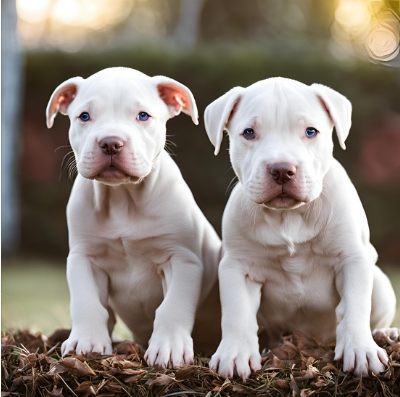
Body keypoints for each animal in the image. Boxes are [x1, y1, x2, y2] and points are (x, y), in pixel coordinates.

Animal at [47, 66, 222, 366]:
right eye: (84, 116)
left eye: (143, 116)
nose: (110, 143)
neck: (124, 199)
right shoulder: (84, 258)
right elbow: (86, 302)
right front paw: (87, 342)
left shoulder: (181, 260)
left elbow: (172, 306)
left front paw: (169, 347)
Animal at [205, 77, 398, 378]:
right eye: (248, 132)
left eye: (311, 131)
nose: (282, 169)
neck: (290, 217)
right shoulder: (238, 268)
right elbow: (237, 312)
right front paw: (234, 354)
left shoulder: (353, 259)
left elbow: (355, 305)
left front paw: (360, 350)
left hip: (380, 283)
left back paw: (385, 333)